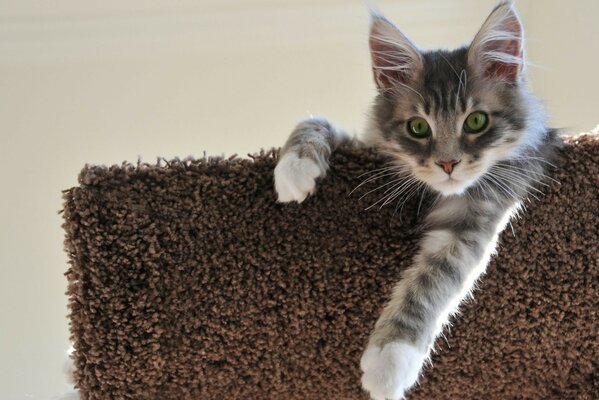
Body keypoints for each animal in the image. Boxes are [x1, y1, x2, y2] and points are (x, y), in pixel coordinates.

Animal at [274, 1, 560, 398]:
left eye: (476, 122)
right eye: (418, 128)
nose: (448, 163)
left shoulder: (475, 219)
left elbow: (429, 282)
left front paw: (390, 360)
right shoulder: (368, 146)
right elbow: (316, 122)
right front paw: (295, 167)